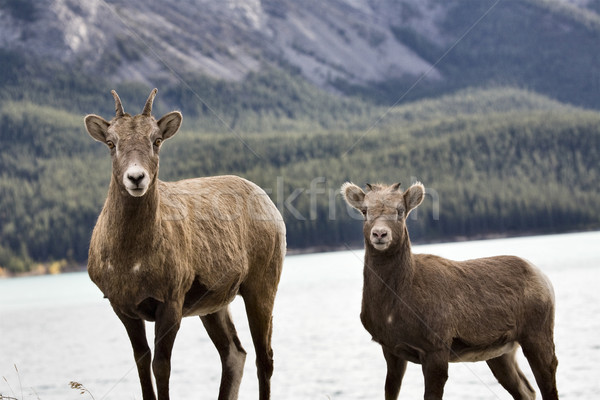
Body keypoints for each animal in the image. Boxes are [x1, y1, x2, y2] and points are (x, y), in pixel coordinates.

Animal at [84, 90, 286, 400]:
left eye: (156, 140)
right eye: (111, 143)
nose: (136, 178)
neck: (132, 260)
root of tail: (268, 202)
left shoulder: (170, 304)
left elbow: (161, 367)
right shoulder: (124, 309)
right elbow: (142, 366)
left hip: (261, 288)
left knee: (264, 359)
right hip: (214, 306)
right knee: (234, 353)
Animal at [342, 182, 556, 400]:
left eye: (400, 211)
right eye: (365, 211)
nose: (379, 234)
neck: (392, 309)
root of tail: (544, 280)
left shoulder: (436, 348)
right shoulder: (390, 349)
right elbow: (390, 391)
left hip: (537, 334)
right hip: (500, 353)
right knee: (526, 391)